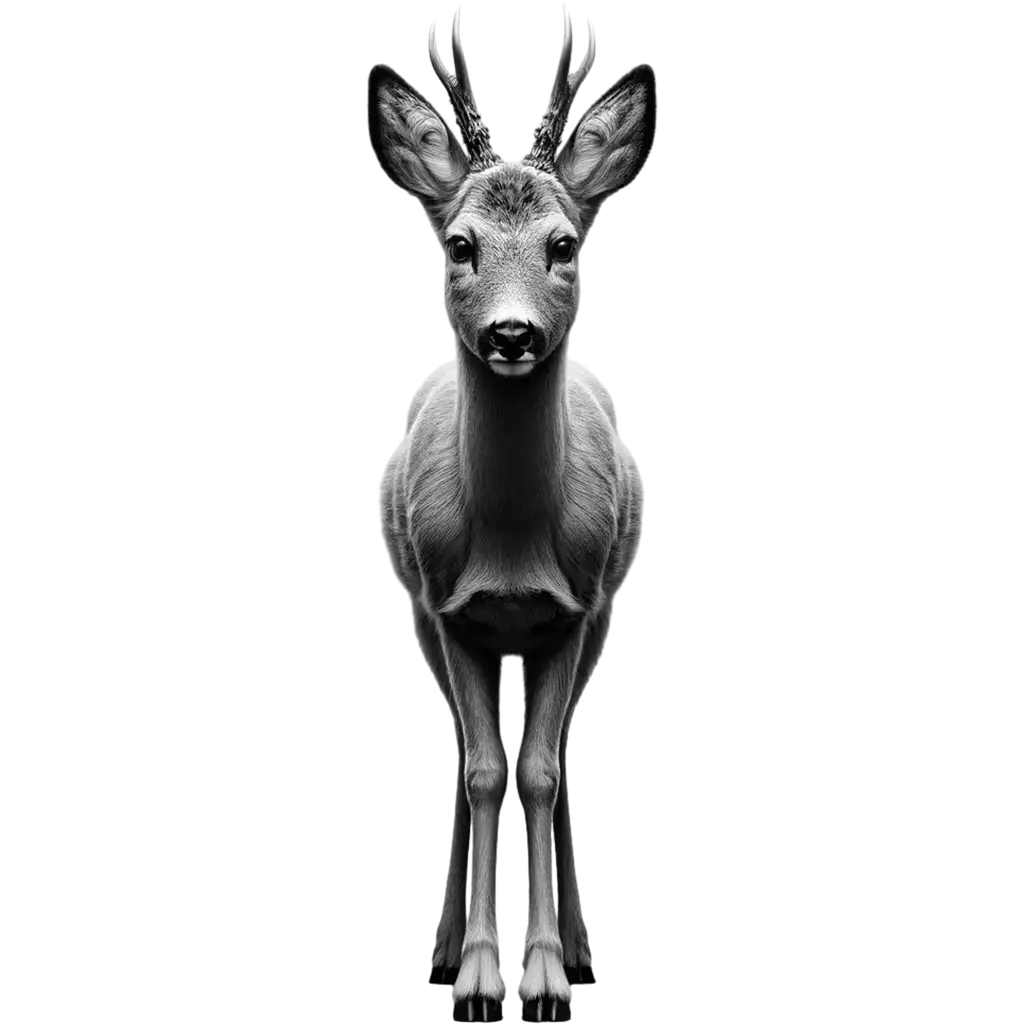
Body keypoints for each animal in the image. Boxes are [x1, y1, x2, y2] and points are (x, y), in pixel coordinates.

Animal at [367, 11, 654, 1022]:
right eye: (460, 244)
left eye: (563, 245)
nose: (512, 333)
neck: (515, 552)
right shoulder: (447, 607)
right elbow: (488, 770)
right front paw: (480, 979)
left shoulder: (579, 606)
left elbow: (542, 769)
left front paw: (553, 976)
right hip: (414, 597)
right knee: (465, 750)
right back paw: (447, 948)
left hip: (608, 598)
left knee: (556, 752)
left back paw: (586, 950)